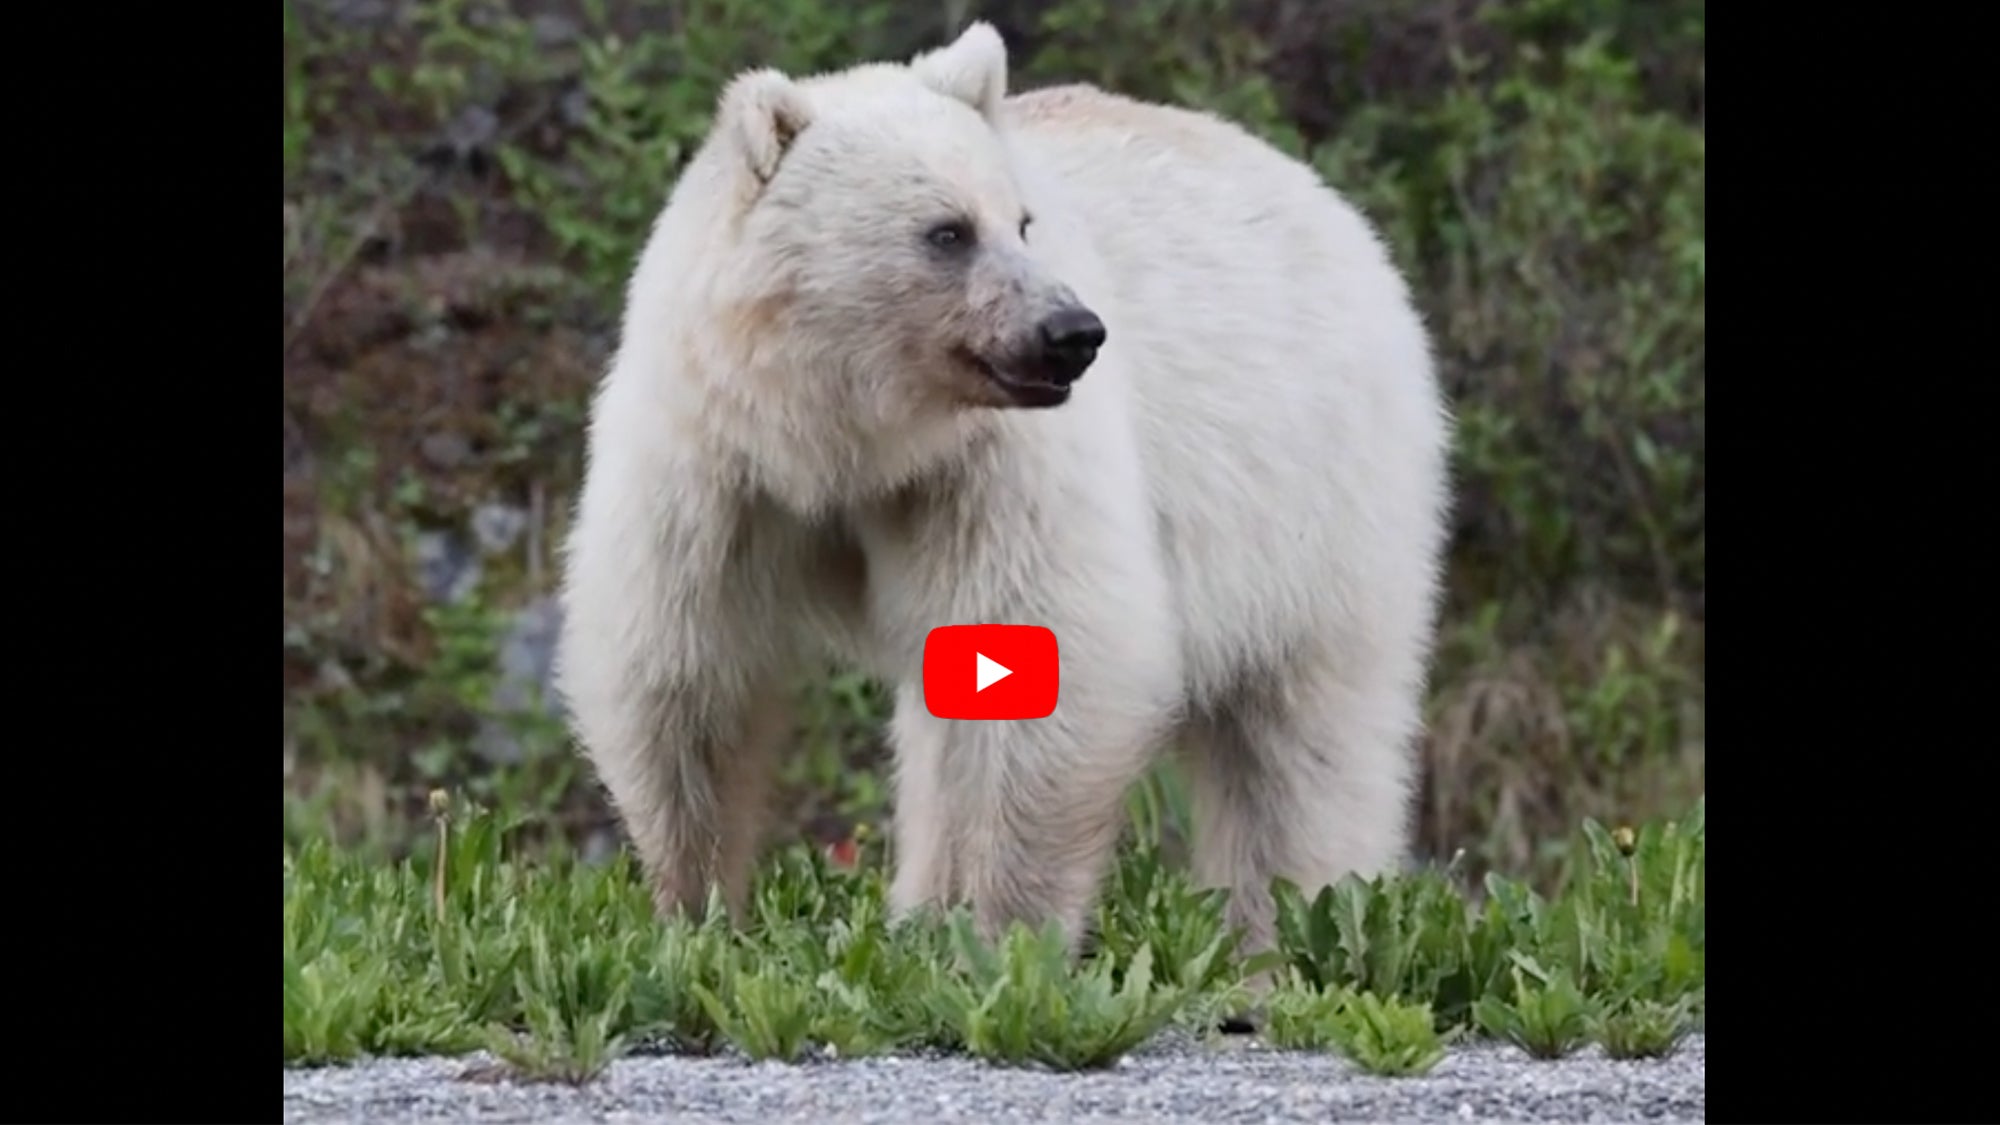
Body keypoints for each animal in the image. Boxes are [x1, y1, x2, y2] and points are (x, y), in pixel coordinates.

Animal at [554, 21, 1453, 968]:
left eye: (1023, 220)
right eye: (947, 230)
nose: (1072, 332)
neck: (840, 440)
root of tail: (1326, 200)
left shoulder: (989, 471)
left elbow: (1048, 659)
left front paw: (1001, 938)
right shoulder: (710, 471)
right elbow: (683, 676)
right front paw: (692, 914)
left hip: (1316, 491)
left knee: (1303, 735)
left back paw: (1285, 935)